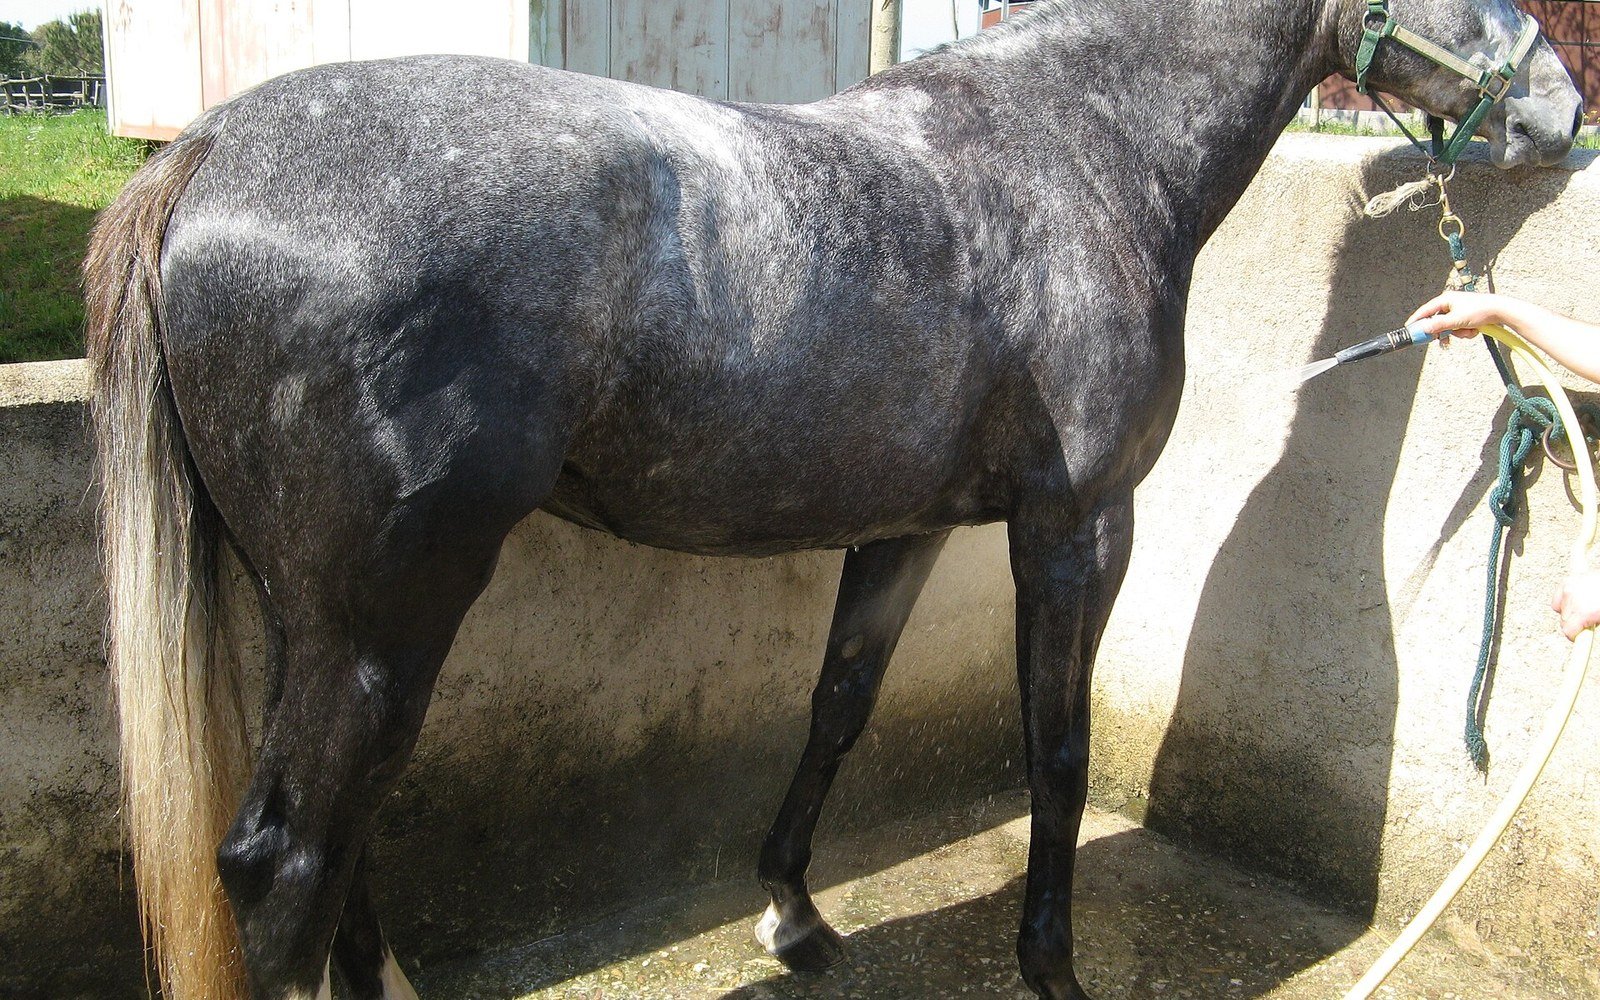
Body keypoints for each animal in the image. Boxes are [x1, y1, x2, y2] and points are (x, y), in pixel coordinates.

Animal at [84, 0, 1580, 997]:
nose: (1560, 116)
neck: (1082, 145)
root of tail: (207, 152)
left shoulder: (903, 526)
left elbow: (840, 706)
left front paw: (794, 914)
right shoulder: (1077, 527)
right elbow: (1055, 748)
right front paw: (1050, 966)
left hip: (321, 622)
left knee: (331, 842)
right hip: (387, 620)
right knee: (285, 858)